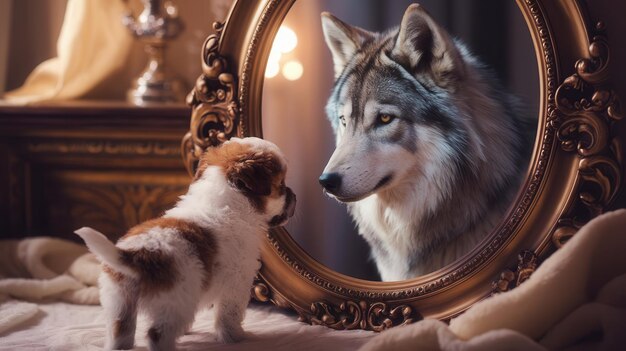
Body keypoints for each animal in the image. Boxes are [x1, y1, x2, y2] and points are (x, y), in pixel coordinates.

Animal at [75, 138, 294, 351]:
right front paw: (235, 337)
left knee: (120, 330)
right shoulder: (237, 282)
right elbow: (229, 315)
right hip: (174, 300)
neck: (230, 200)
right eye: (281, 186)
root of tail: (137, 254)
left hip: (120, 301)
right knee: (156, 335)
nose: (294, 195)